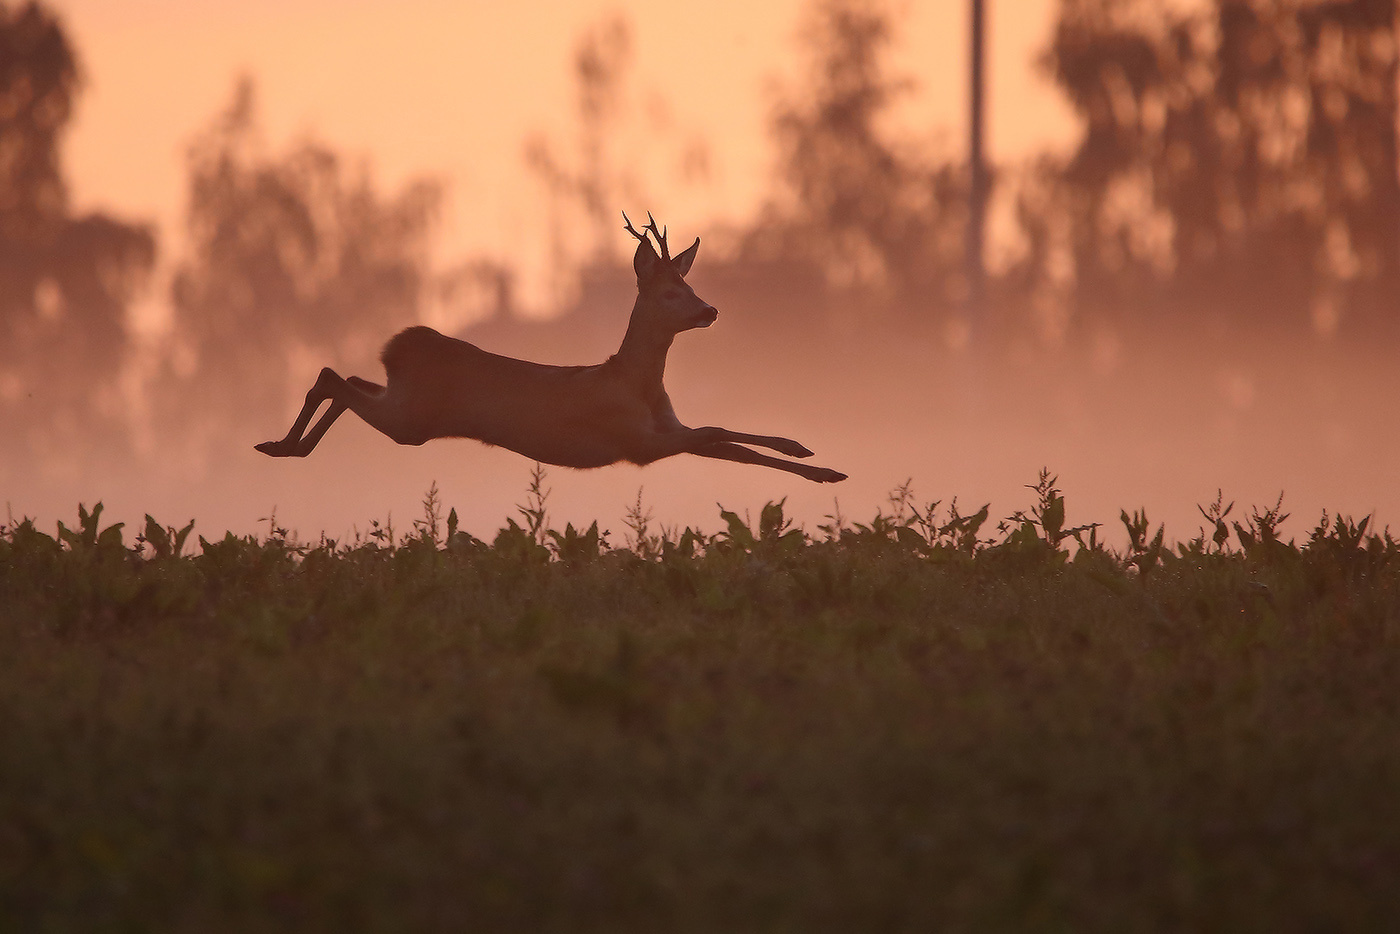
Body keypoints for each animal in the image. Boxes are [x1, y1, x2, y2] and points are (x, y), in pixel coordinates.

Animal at [255, 213, 847, 483]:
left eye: (692, 284)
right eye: (671, 292)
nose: (711, 311)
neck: (635, 384)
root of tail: (396, 345)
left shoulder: (667, 431)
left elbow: (731, 442)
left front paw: (818, 465)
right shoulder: (638, 442)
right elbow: (720, 431)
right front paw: (812, 458)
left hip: (403, 404)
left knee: (350, 379)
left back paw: (286, 446)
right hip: (412, 420)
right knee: (332, 376)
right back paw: (281, 446)